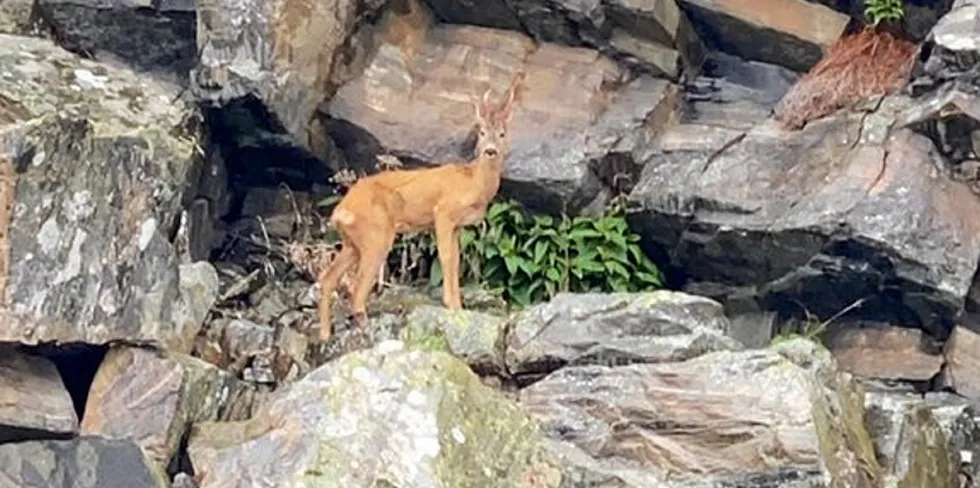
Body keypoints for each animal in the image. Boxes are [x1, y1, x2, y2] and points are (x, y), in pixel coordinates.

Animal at [318, 73, 524, 340]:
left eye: (502, 133)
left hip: (353, 241)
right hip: (376, 233)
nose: (490, 151)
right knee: (357, 284)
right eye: (481, 132)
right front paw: (452, 305)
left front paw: (458, 304)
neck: (473, 184)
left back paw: (325, 333)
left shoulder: (457, 226)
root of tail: (341, 210)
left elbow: (456, 260)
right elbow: (447, 257)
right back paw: (361, 324)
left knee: (328, 277)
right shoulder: (443, 212)